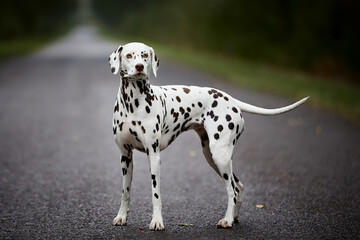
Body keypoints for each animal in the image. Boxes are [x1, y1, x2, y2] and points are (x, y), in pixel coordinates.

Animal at [108, 42, 308, 231]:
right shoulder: (125, 157)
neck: (134, 103)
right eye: (129, 55)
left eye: (145, 55)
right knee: (239, 186)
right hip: (212, 156)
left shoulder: (154, 155)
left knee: (232, 190)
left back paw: (227, 220)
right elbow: (125, 192)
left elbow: (155, 194)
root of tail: (231, 100)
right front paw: (121, 217)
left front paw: (157, 222)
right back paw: (234, 217)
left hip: (220, 155)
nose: (140, 66)